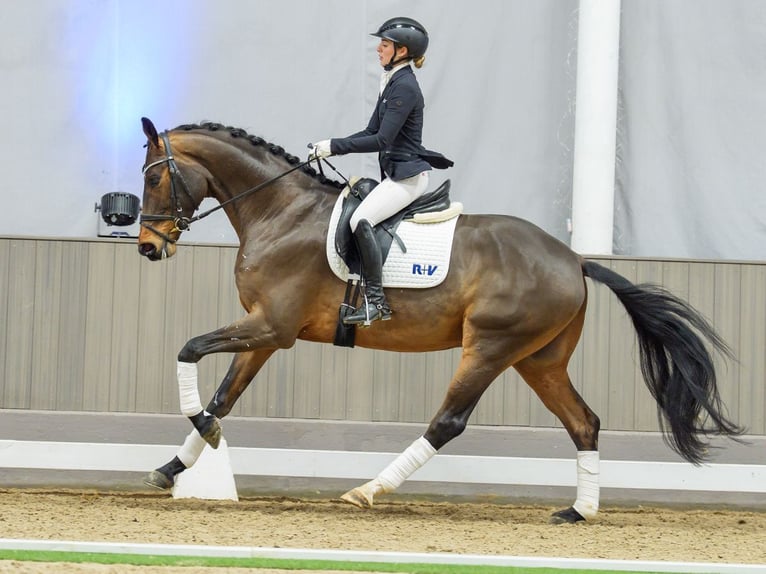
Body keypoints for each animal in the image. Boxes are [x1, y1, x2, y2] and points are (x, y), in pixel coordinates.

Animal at [136, 117, 743, 524]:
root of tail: (573, 259)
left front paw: (200, 438)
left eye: (154, 179)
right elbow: (224, 395)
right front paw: (173, 465)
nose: (147, 247)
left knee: (448, 422)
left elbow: (188, 350)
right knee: (584, 422)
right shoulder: (263, 330)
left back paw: (369, 490)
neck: (281, 211)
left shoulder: (273, 328)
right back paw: (579, 511)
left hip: (491, 347)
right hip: (539, 360)